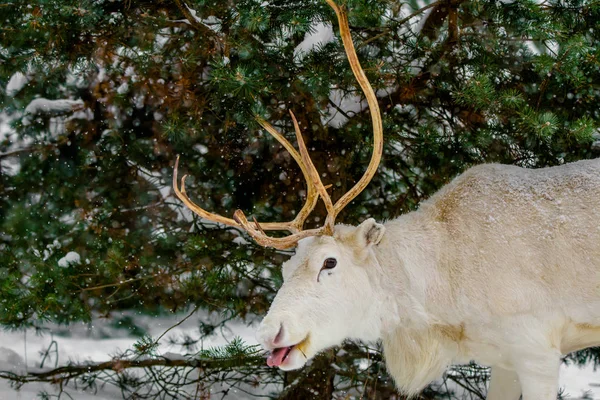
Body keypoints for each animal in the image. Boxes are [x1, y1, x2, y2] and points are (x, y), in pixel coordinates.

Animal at [173, 1, 600, 398]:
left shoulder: (537, 348)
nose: (270, 332)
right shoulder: (503, 360)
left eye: (330, 262)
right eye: (284, 268)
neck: (444, 302)